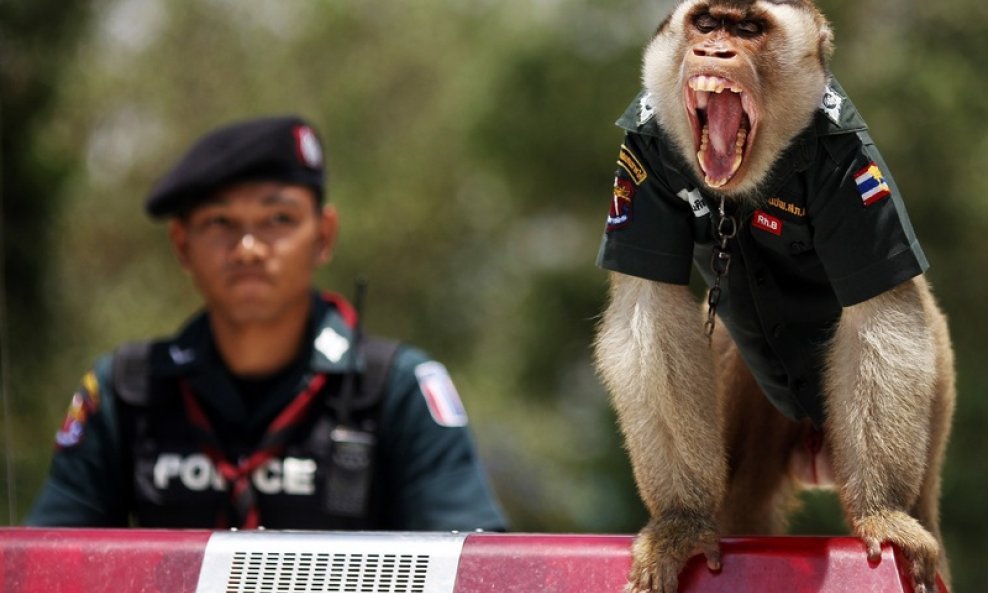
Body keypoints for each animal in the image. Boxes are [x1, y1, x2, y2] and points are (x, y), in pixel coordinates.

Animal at [596, 1, 956, 592]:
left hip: (937, 389)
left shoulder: (855, 162)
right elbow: (651, 307)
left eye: (747, 29)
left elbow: (879, 312)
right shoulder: (640, 149)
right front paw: (682, 519)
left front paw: (882, 511)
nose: (715, 51)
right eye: (707, 24)